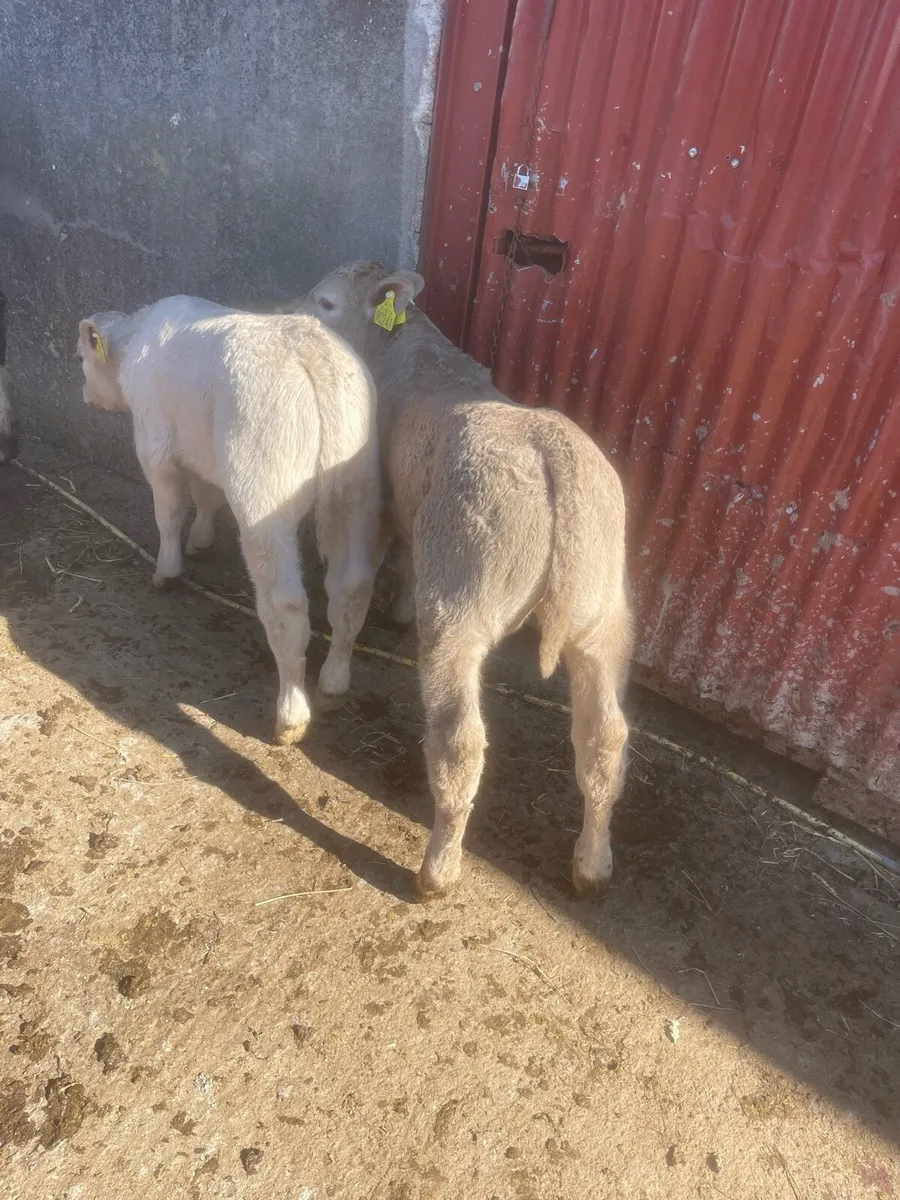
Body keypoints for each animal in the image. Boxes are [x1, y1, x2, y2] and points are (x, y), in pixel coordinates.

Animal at [77, 296, 380, 745]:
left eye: (80, 358)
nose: (84, 394)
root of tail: (313, 352)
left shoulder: (155, 446)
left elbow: (169, 514)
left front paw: (167, 570)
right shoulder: (204, 452)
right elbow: (207, 496)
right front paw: (200, 541)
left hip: (264, 492)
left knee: (286, 606)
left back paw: (290, 716)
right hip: (359, 487)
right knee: (352, 590)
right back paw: (334, 682)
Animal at [289, 262, 632, 899]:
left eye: (324, 303)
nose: (287, 316)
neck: (400, 343)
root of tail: (555, 455)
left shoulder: (380, 496)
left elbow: (356, 593)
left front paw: (338, 671)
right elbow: (405, 559)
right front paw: (399, 607)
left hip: (461, 597)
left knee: (460, 743)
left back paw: (438, 869)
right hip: (601, 607)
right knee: (606, 738)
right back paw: (592, 863)